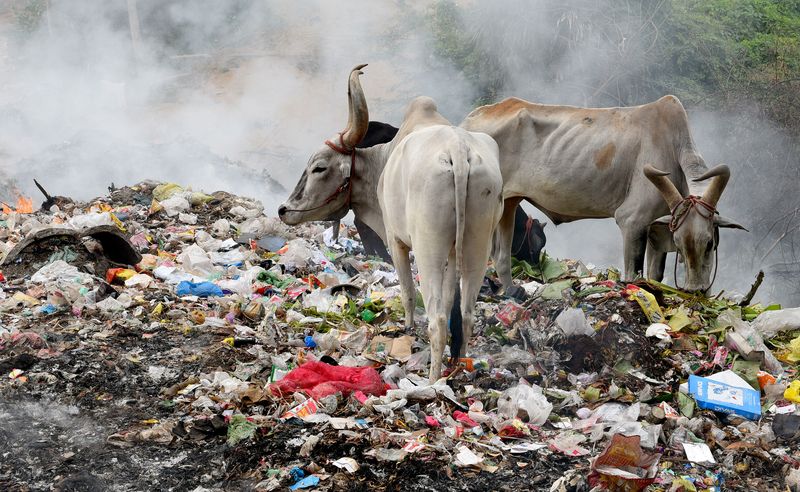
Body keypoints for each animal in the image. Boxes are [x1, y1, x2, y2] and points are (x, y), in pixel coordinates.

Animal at [276, 65, 500, 380]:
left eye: (319, 167)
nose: (284, 210)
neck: (382, 163)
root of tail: (458, 150)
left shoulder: (395, 240)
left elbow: (407, 293)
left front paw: (407, 329)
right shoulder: (453, 252)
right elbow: (448, 302)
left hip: (428, 247)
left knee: (437, 319)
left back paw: (433, 380)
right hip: (476, 246)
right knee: (465, 314)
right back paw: (459, 368)